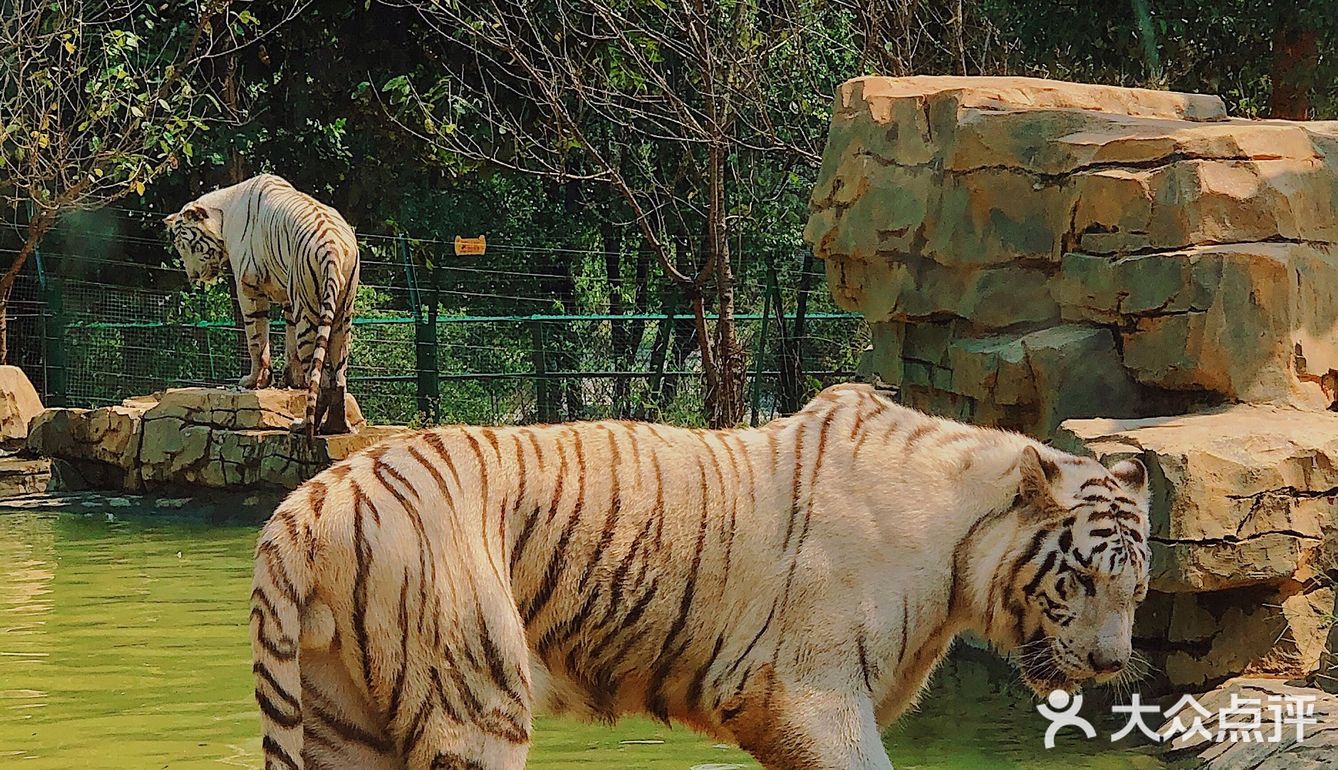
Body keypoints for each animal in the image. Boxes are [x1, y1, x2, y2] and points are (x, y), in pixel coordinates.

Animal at [164, 173, 361, 437]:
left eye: (189, 246)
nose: (193, 276)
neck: (224, 213)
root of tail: (334, 248)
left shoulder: (248, 288)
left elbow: (256, 341)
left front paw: (254, 381)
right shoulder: (289, 298)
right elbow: (289, 344)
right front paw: (292, 381)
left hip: (310, 311)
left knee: (321, 377)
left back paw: (303, 426)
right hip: (342, 312)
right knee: (338, 376)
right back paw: (335, 427)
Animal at [249, 382, 1150, 770]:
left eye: (1137, 591)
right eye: (1079, 582)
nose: (1112, 664)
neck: (960, 552)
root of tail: (310, 501)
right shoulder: (814, 696)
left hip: (341, 715)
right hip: (473, 695)